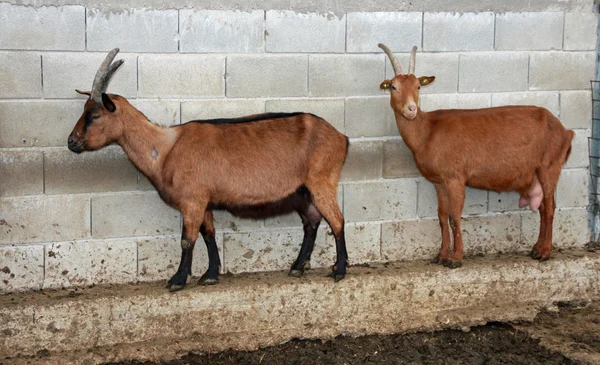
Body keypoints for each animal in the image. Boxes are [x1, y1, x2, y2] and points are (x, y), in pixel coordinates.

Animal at [68, 48, 350, 290]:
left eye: (95, 115)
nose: (72, 142)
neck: (166, 148)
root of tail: (342, 138)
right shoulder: (204, 201)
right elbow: (208, 235)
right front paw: (211, 275)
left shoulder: (192, 200)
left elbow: (187, 239)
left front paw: (178, 280)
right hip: (302, 192)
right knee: (312, 221)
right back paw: (298, 267)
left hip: (321, 181)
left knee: (336, 220)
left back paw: (339, 270)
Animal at [380, 44, 572, 266]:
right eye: (393, 86)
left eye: (419, 86)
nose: (411, 109)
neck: (427, 131)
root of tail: (565, 131)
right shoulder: (439, 182)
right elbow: (442, 217)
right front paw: (441, 255)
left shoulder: (455, 178)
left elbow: (454, 217)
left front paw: (455, 258)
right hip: (537, 173)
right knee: (542, 207)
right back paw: (536, 249)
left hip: (550, 166)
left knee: (549, 208)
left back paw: (545, 252)